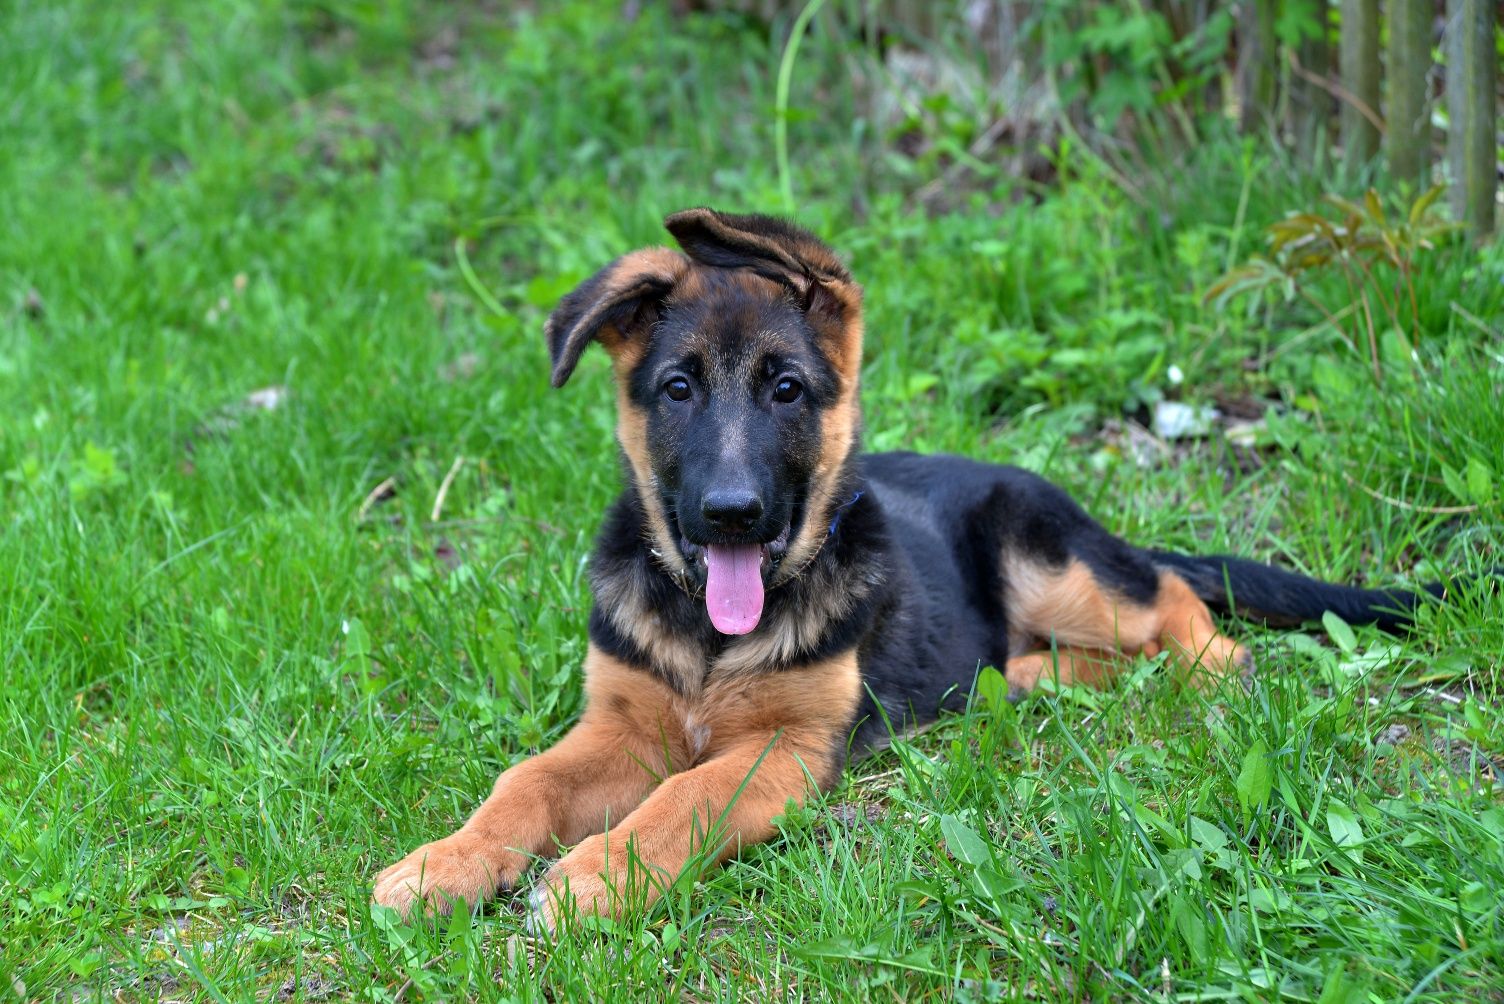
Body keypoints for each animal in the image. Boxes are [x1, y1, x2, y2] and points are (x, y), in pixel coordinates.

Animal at [372, 207, 1455, 931]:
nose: (731, 512)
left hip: (1049, 556)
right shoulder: (620, 727)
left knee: (1186, 617)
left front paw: (603, 874)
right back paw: (1023, 677)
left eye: (786, 390)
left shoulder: (788, 749)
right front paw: (447, 863)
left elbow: (687, 797)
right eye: (677, 389)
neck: (710, 636)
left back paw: (1160, 663)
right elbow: (524, 782)